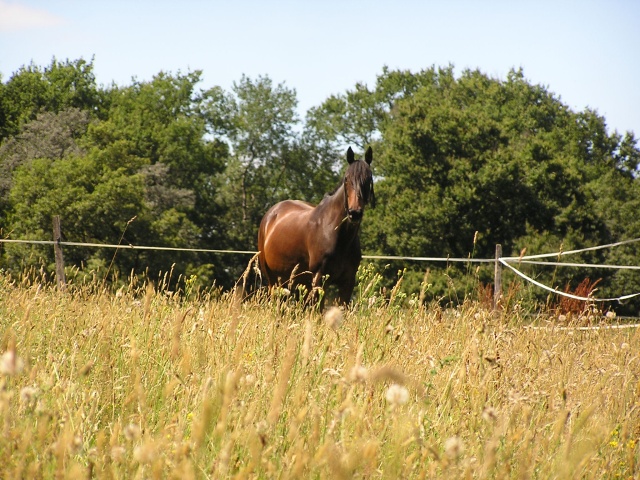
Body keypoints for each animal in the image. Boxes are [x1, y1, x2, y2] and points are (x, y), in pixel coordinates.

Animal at [256, 145, 376, 304]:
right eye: (346, 179)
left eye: (369, 179)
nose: (354, 213)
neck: (337, 234)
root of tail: (271, 214)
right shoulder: (319, 279)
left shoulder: (347, 282)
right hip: (273, 280)